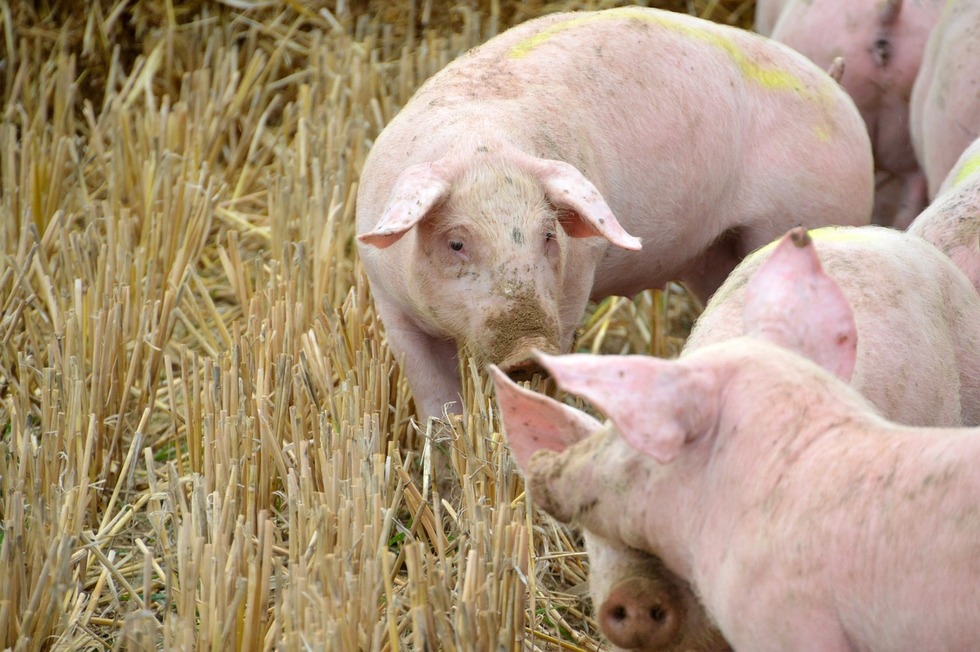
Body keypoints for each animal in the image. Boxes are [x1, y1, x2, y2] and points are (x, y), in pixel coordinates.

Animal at [356, 6, 874, 420]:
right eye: (456, 242)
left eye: (549, 236)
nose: (528, 350)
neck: (481, 144)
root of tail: (836, 88)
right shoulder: (390, 306)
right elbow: (437, 406)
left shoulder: (574, 284)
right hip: (714, 256)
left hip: (811, 209)